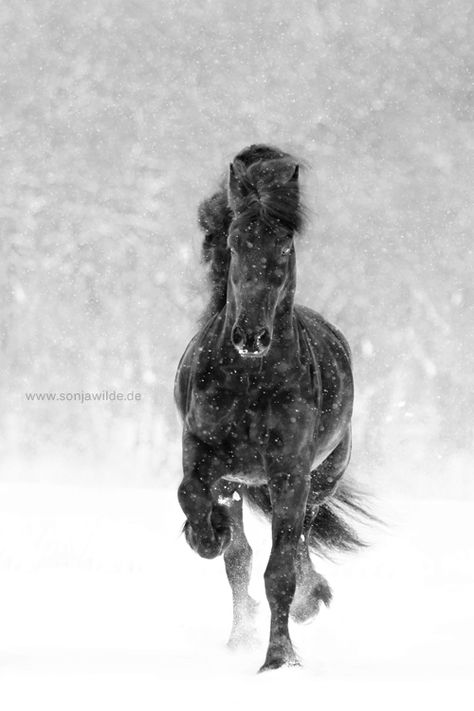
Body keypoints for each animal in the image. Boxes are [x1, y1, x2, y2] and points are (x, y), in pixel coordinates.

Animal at [174, 145, 370, 672]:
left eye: (284, 246)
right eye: (236, 242)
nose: (251, 336)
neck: (250, 380)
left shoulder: (289, 471)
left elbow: (280, 570)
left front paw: (279, 660)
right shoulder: (203, 453)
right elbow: (193, 500)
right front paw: (205, 533)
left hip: (322, 478)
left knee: (301, 536)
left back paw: (311, 599)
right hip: (241, 481)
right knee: (239, 558)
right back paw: (238, 630)